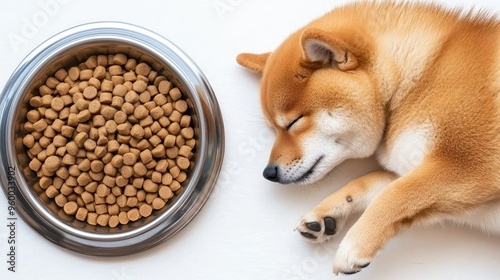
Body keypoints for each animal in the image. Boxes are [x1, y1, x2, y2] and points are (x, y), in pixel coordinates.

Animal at [236, 0, 500, 276]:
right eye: (274, 130)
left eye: (293, 122)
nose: (269, 172)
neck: (420, 78)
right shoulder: (414, 167)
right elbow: (369, 184)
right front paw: (328, 213)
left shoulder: (469, 167)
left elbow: (393, 196)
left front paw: (353, 246)